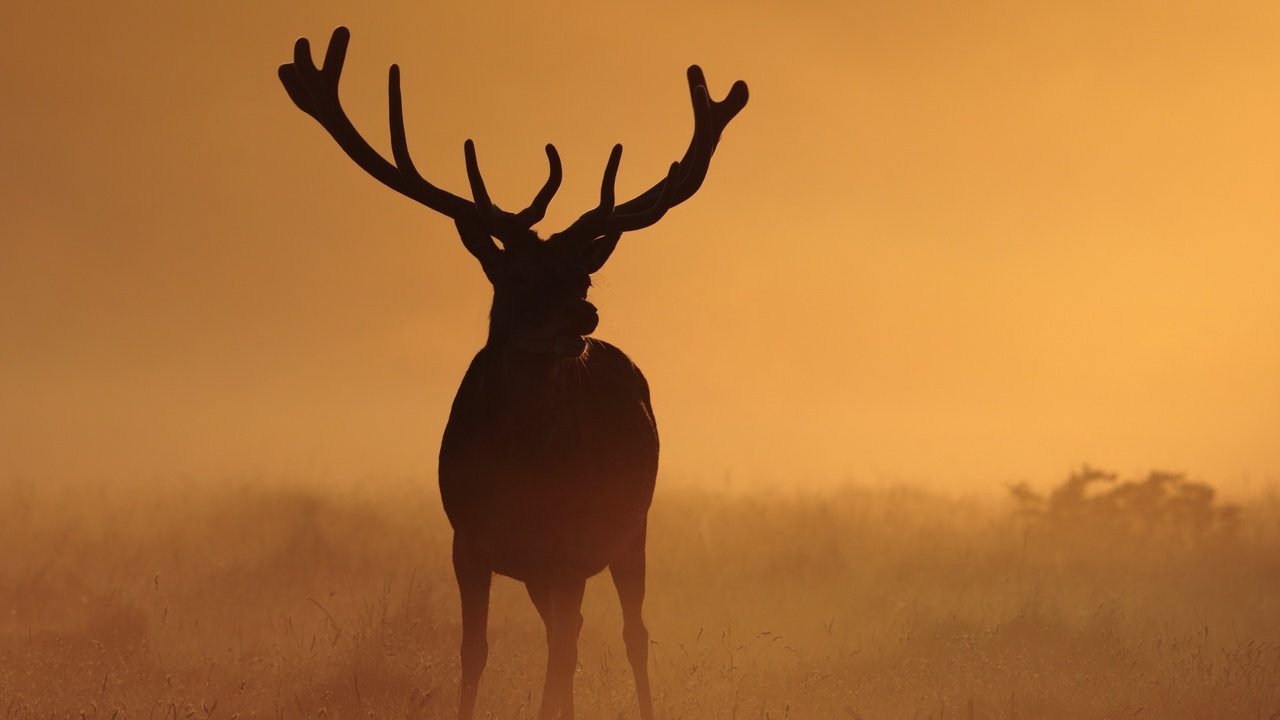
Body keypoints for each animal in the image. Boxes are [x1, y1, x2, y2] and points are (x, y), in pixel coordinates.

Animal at [275, 25, 747, 712]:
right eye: (518, 276)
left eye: (582, 276)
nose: (585, 314)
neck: (520, 468)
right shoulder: (468, 542)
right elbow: (474, 652)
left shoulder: (570, 547)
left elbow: (563, 658)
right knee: (568, 633)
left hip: (631, 527)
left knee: (627, 633)